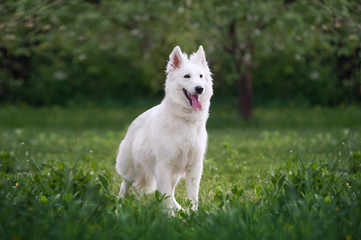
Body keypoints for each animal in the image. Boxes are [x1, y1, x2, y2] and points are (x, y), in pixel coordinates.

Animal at [114, 45, 211, 210]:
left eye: (201, 76)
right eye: (187, 76)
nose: (200, 89)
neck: (185, 120)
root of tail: (135, 121)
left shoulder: (194, 166)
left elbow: (192, 196)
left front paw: (193, 212)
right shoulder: (164, 166)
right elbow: (166, 195)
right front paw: (170, 214)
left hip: (174, 175)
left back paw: (180, 209)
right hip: (131, 170)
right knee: (124, 186)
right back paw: (120, 205)